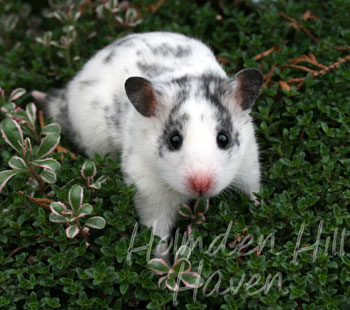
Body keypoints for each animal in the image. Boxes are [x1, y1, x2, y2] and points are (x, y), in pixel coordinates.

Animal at [32, 32, 262, 256]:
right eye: (174, 140)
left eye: (223, 139)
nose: (201, 185)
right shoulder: (150, 195)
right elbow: (157, 238)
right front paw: (164, 267)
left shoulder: (249, 164)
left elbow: (254, 191)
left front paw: (258, 209)